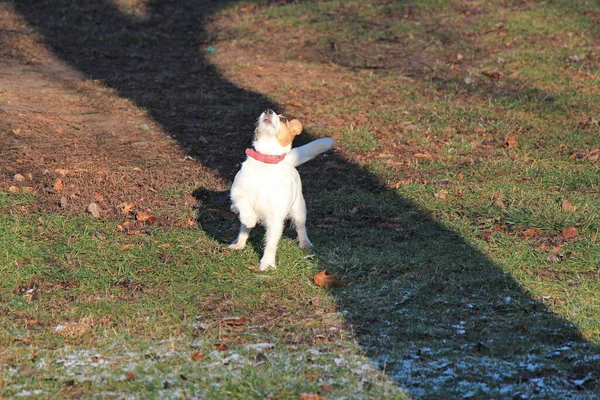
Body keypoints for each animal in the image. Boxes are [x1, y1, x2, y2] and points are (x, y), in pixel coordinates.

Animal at [229, 109, 336, 270]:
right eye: (262, 112)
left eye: (284, 119)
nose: (268, 111)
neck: (266, 163)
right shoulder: (237, 192)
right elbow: (243, 203)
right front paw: (248, 216)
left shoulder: (275, 219)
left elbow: (271, 244)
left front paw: (267, 263)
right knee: (244, 229)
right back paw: (239, 243)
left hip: (299, 210)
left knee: (301, 228)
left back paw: (305, 243)